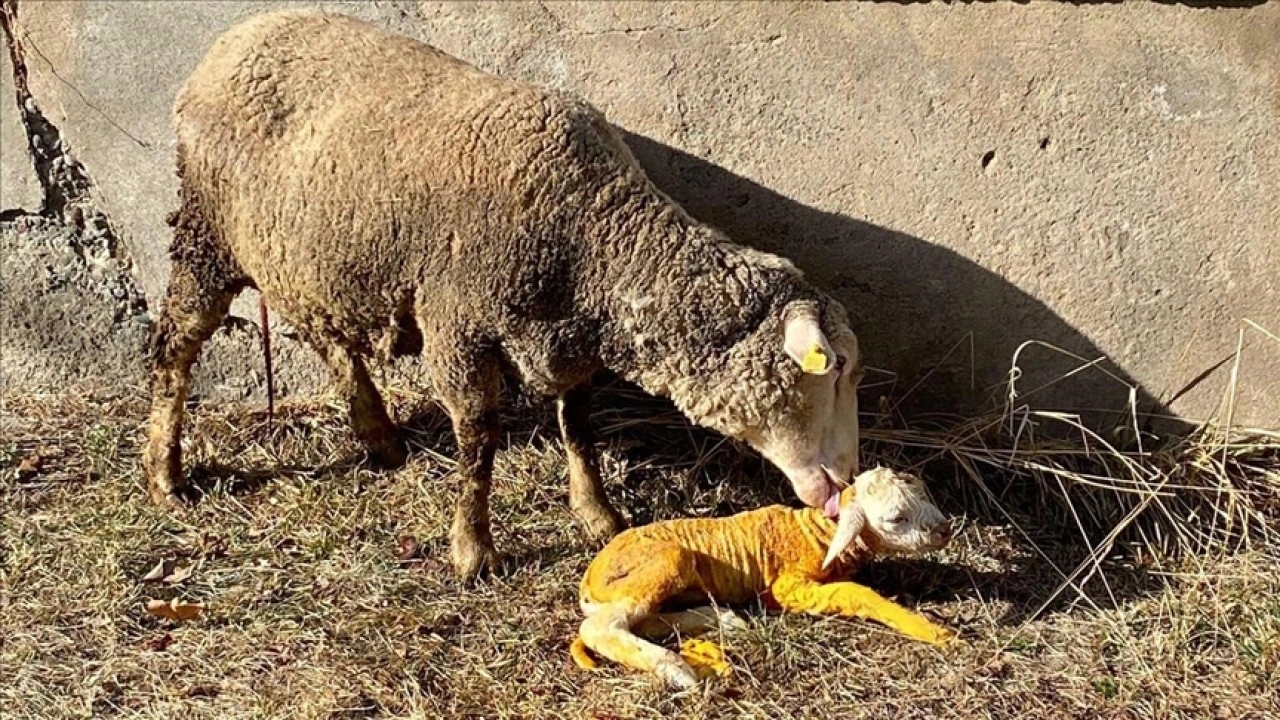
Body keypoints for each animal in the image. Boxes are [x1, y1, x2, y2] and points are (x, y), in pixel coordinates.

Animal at [147, 7, 870, 576]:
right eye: (831, 373)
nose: (845, 482)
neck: (595, 234)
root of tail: (235, 37)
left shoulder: (566, 341)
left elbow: (580, 426)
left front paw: (598, 515)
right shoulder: (457, 327)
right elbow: (479, 441)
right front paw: (474, 550)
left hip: (307, 252)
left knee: (325, 336)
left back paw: (379, 436)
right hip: (208, 234)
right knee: (176, 346)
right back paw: (165, 472)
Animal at [568, 461, 952, 686]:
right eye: (896, 518)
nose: (945, 530)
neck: (817, 532)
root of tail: (589, 580)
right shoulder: (785, 588)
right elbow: (852, 592)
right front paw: (934, 632)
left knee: (642, 619)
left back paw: (722, 619)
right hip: (662, 562)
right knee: (598, 628)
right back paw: (676, 668)